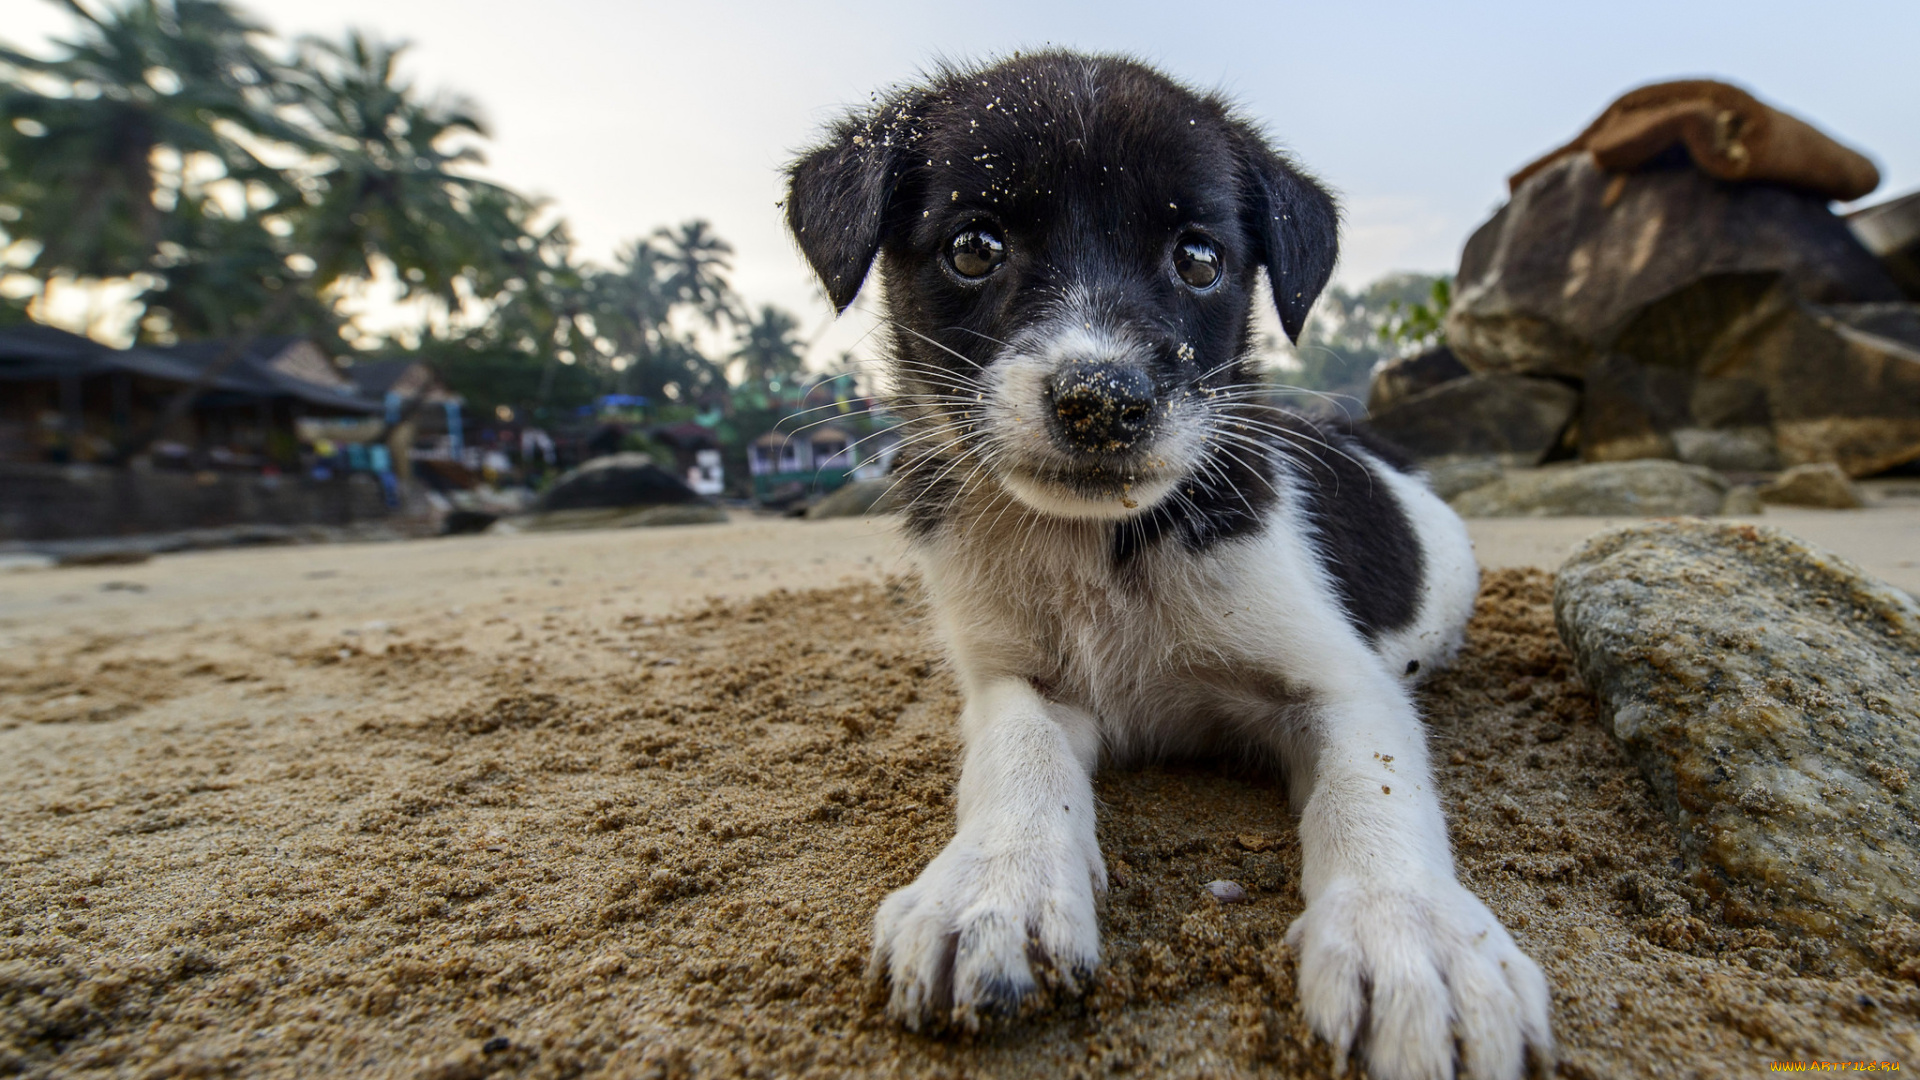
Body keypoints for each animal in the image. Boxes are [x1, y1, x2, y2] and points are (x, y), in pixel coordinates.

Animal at [787, 52, 1551, 1076]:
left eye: (1198, 259)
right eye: (975, 246)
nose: (1104, 401)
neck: (1100, 547)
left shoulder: (1343, 685)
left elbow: (1376, 790)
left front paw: (1412, 937)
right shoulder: (1015, 679)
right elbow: (1017, 756)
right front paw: (992, 888)